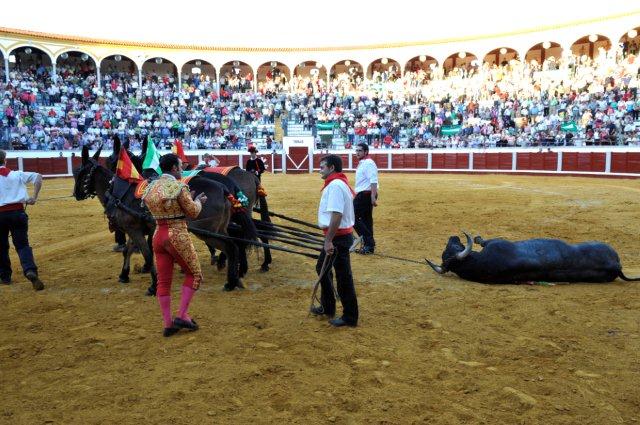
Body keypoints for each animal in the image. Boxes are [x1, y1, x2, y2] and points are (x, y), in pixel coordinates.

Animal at [74, 146, 254, 292]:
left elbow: (147, 253)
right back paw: (235, 277)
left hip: (207, 231)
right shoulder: (134, 229)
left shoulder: (134, 229)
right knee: (235, 244)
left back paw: (231, 279)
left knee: (231, 246)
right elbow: (129, 250)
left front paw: (153, 284)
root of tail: (224, 188)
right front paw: (124, 274)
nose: (76, 194)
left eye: (80, 173)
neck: (120, 193)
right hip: (219, 228)